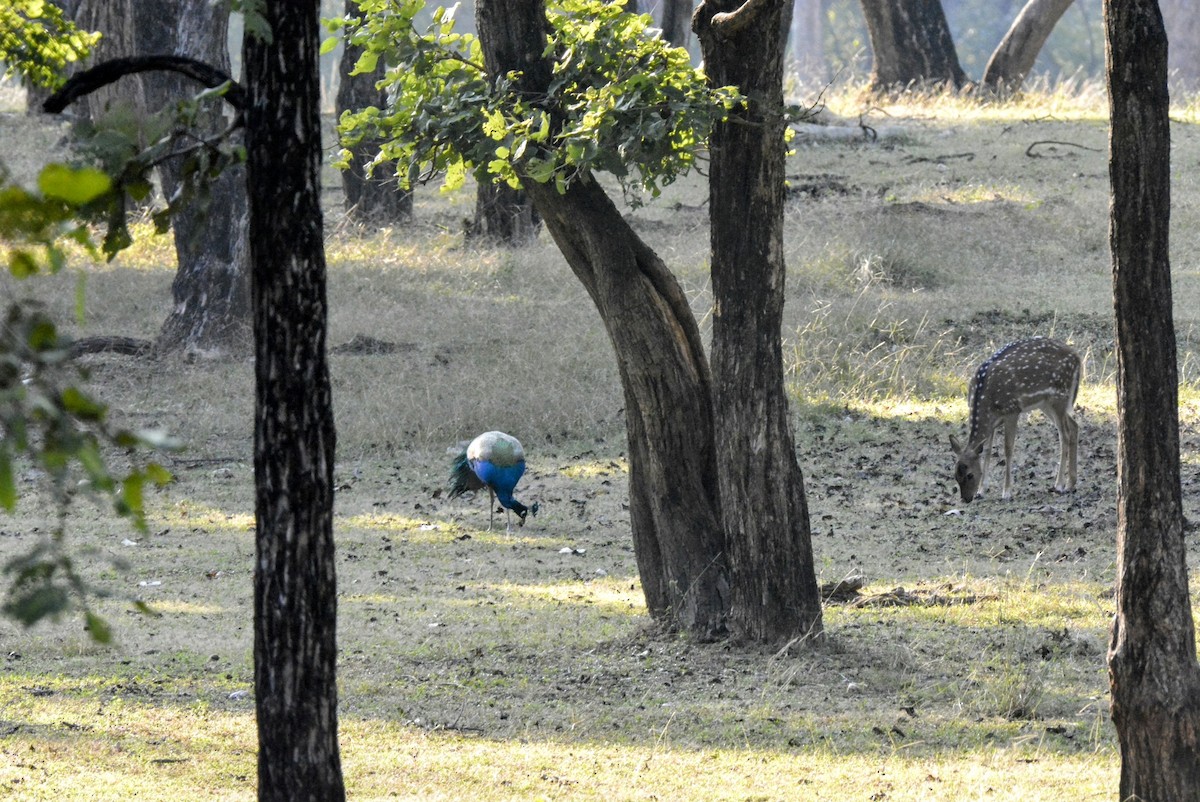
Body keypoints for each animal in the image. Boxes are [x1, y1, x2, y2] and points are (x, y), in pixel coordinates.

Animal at [950, 336, 1084, 501]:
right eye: (955, 475)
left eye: (970, 475)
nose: (966, 499)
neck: (985, 400)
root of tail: (1077, 357)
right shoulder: (993, 423)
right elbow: (987, 450)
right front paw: (982, 490)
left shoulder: (1012, 410)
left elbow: (1008, 448)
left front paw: (1006, 492)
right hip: (1047, 403)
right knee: (1074, 426)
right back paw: (1071, 483)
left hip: (1058, 396)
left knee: (1064, 434)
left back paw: (1059, 485)